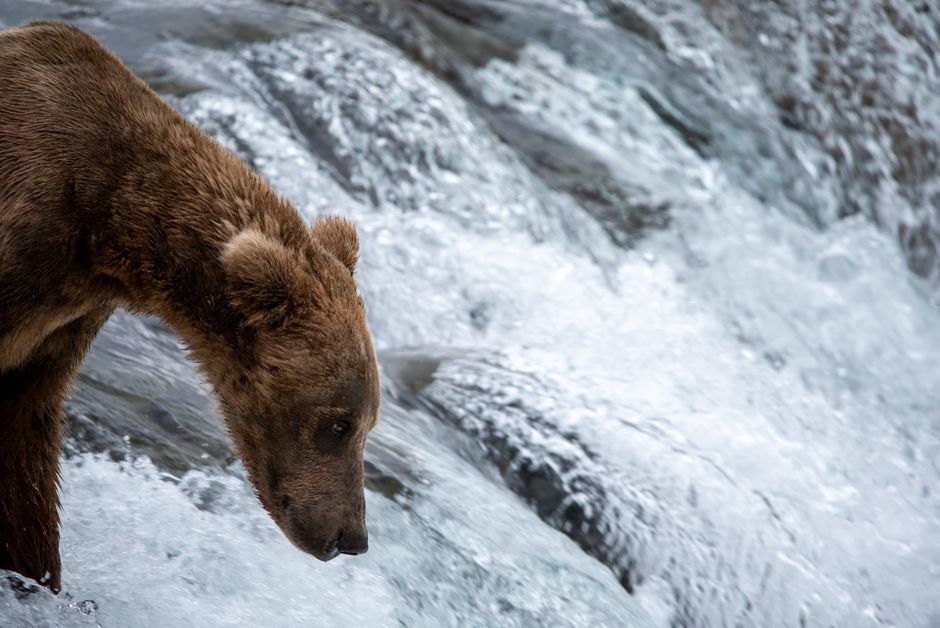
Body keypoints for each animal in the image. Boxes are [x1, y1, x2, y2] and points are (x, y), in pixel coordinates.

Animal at [0, 20, 380, 592]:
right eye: (338, 424)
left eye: (368, 424)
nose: (352, 537)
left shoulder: (59, 325)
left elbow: (25, 452)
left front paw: (38, 574)